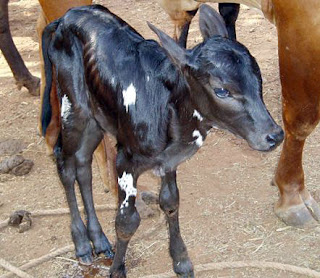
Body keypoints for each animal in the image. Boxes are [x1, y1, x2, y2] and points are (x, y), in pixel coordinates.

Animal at [40, 3, 282, 276]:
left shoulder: (169, 162)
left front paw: (181, 261)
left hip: (96, 117)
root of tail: (68, 15)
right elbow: (126, 221)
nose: (274, 135)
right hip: (72, 106)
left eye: (258, 79)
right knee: (65, 163)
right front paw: (117, 270)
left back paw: (99, 240)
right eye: (222, 90)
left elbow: (170, 202)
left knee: (83, 164)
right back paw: (82, 243)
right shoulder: (126, 160)